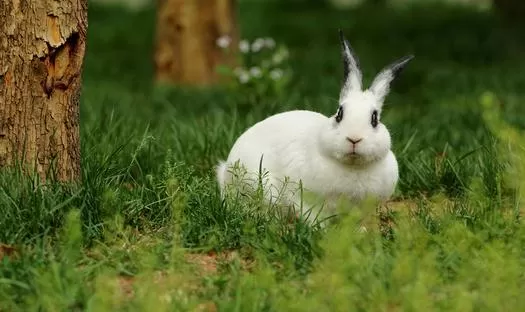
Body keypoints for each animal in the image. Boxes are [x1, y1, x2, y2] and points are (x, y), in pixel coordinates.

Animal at [215, 29, 412, 224]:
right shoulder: (304, 200)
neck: (353, 166)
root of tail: (225, 172)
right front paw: (320, 229)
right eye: (339, 114)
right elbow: (312, 217)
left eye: (374, 119)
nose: (354, 139)